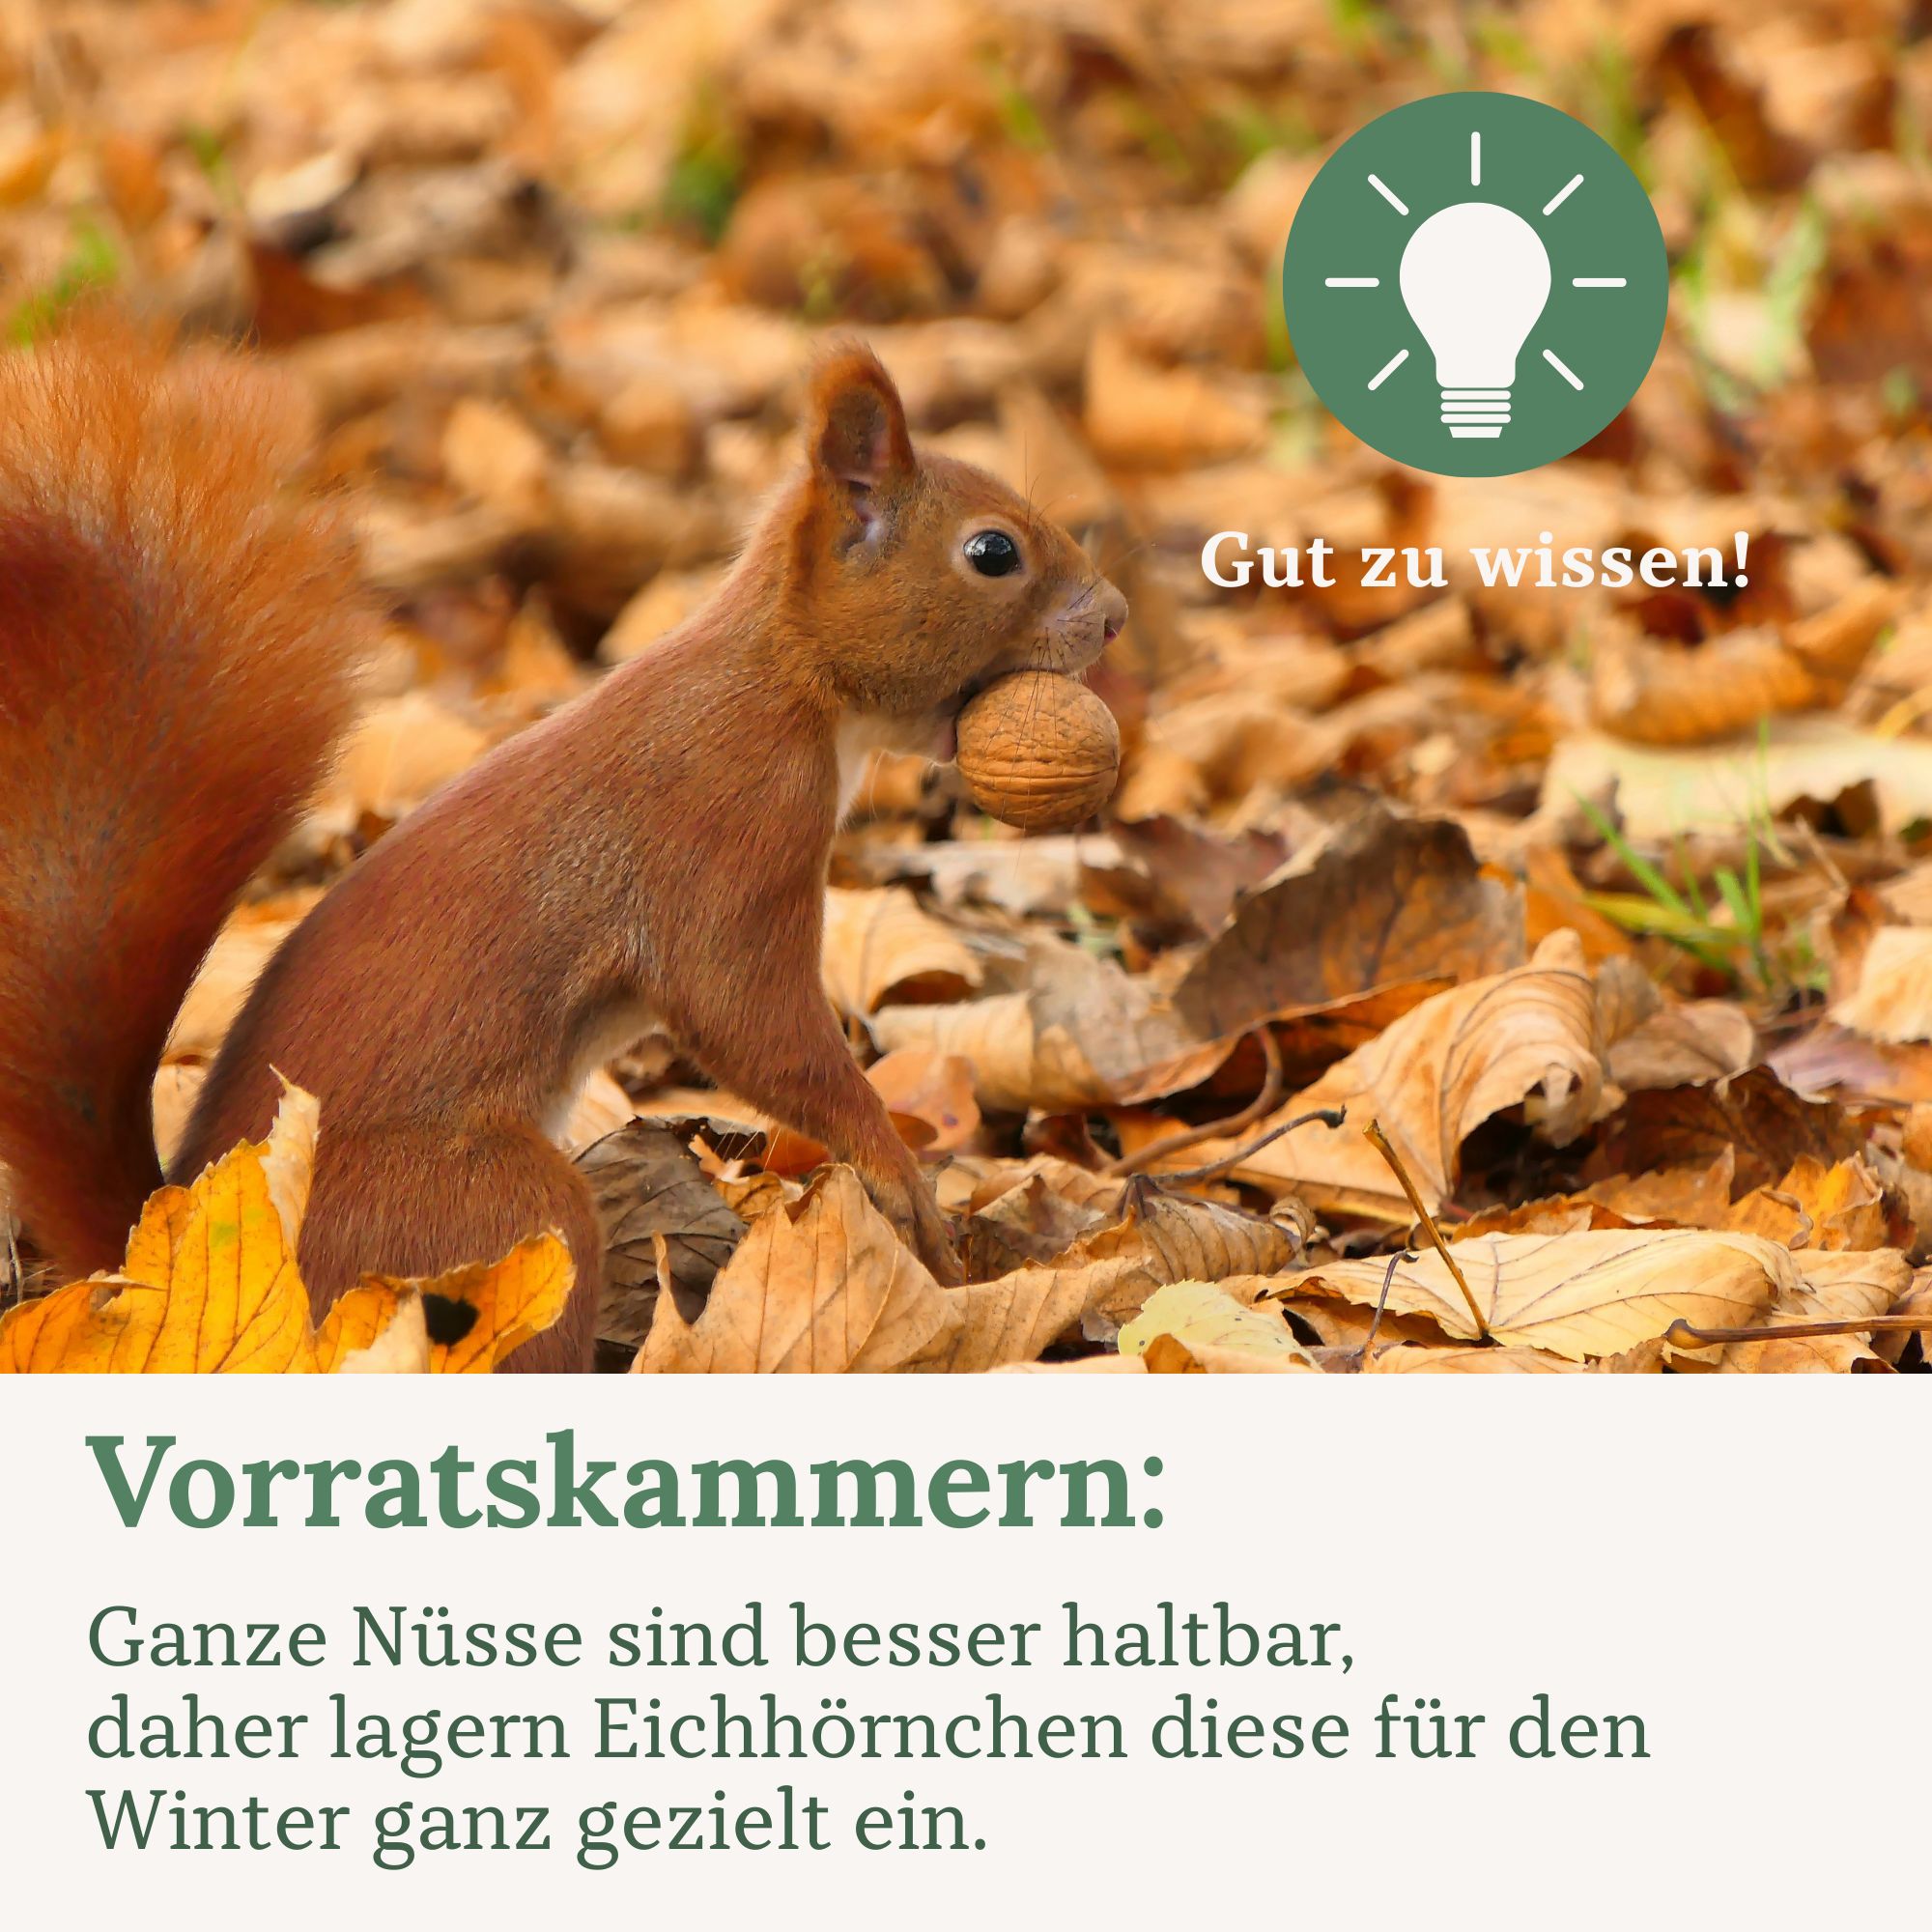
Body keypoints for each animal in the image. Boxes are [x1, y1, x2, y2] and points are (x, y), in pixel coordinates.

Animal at [0, 320, 1126, 1371]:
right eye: (992, 552)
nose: (1115, 615)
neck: (786, 679)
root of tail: (173, 1259)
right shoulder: (729, 832)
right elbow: (748, 1017)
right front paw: (895, 1173)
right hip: (484, 1208)